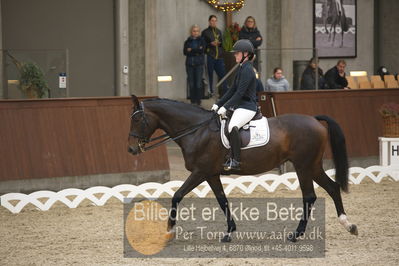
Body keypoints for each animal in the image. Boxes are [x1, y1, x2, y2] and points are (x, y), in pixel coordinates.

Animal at [128, 95, 360, 241]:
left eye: (138, 119)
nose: (131, 149)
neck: (197, 130)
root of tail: (314, 119)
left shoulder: (200, 172)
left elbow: (177, 195)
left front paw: (169, 230)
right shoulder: (211, 174)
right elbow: (222, 201)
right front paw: (229, 232)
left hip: (303, 166)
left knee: (310, 196)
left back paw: (296, 234)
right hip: (313, 166)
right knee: (332, 187)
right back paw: (349, 225)